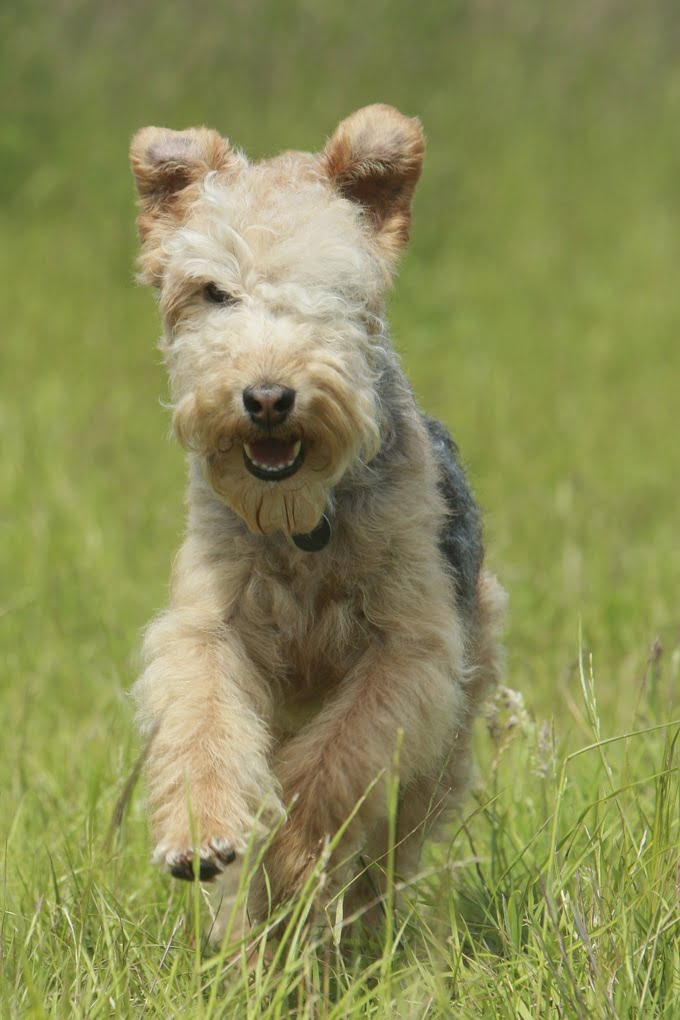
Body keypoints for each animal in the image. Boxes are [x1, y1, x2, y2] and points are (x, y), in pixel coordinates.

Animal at [127, 107, 505, 930]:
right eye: (213, 291)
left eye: (334, 288)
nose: (268, 397)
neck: (302, 525)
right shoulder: (207, 627)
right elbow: (204, 720)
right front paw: (201, 834)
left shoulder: (407, 652)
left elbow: (335, 767)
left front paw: (293, 857)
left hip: (446, 741)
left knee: (388, 854)